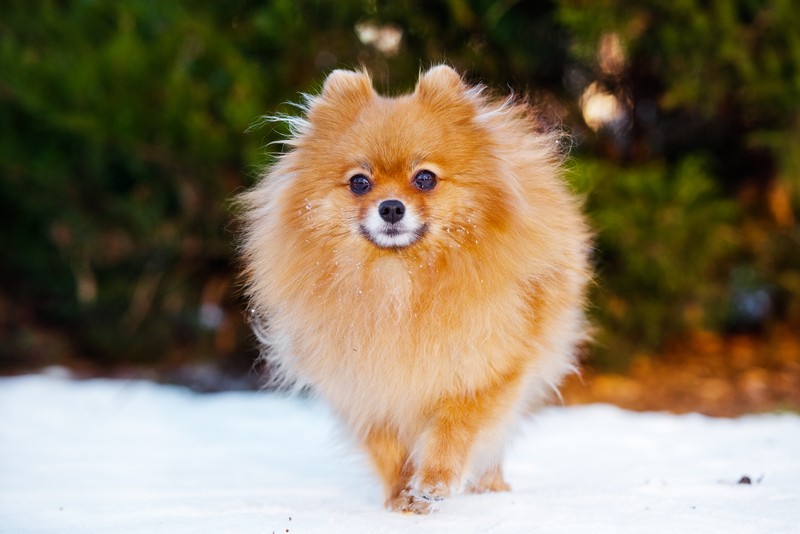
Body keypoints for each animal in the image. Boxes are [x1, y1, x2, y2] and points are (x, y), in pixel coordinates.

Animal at [241, 66, 592, 516]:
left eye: (425, 178)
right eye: (359, 183)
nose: (391, 207)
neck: (398, 280)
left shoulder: (486, 367)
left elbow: (456, 427)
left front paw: (435, 482)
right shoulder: (363, 384)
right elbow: (387, 447)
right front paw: (400, 499)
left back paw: (490, 488)